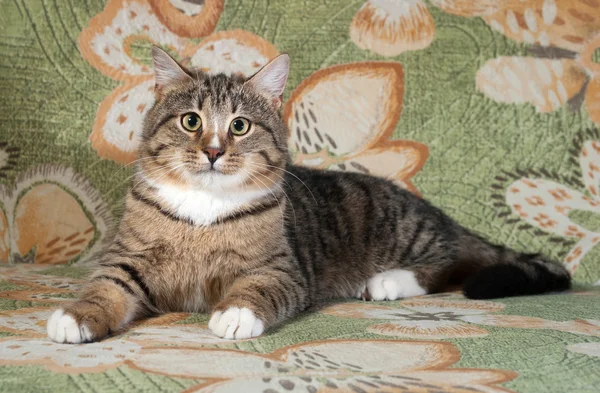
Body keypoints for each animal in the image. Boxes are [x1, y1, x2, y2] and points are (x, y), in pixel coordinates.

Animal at [45, 46, 568, 344]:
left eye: (239, 126)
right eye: (191, 120)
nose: (213, 151)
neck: (204, 209)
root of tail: (440, 215)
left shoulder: (280, 268)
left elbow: (256, 287)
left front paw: (235, 313)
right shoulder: (127, 259)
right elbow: (104, 287)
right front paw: (76, 316)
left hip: (409, 231)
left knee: (452, 262)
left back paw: (390, 280)